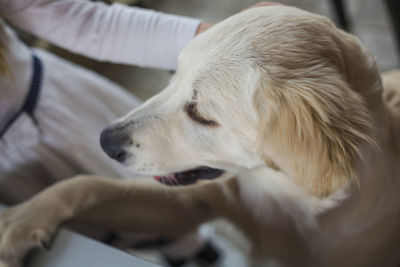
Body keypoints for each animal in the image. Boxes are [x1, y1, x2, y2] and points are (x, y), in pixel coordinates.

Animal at [0, 6, 400, 267]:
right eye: (174, 76)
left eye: (201, 114)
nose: (106, 142)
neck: (284, 197)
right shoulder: (188, 206)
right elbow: (88, 184)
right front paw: (18, 222)